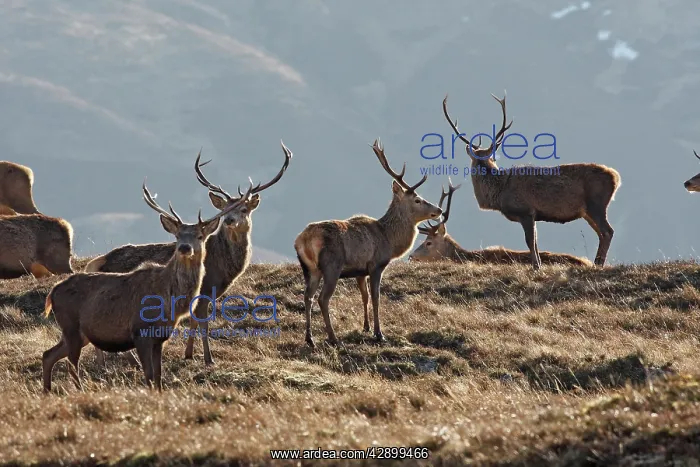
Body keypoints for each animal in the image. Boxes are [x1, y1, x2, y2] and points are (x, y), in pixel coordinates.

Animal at [42, 180, 254, 392]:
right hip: (71, 326)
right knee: (71, 363)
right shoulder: (140, 331)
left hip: (79, 333)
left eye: (200, 236)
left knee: (48, 355)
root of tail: (52, 292)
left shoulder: (161, 336)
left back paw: (48, 390)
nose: (184, 248)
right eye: (177, 236)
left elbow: (158, 376)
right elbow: (150, 375)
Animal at [85, 142, 292, 366]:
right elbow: (202, 323)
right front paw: (208, 359)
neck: (223, 268)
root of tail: (98, 261)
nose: (229, 220)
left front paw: (189, 354)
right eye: (226, 208)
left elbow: (193, 322)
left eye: (244, 209)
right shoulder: (204, 290)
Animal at [294, 139, 443, 347]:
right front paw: (379, 333)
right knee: (323, 298)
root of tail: (304, 240)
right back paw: (333, 338)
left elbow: (364, 296)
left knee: (307, 296)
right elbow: (376, 297)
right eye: (417, 199)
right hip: (331, 265)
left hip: (310, 269)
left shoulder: (360, 271)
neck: (389, 239)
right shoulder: (376, 264)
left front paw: (366, 327)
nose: (439, 210)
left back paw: (310, 338)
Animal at [442, 92, 621, 270]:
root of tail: (616, 177)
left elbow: (529, 241)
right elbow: (535, 241)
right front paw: (538, 264)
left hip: (596, 203)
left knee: (608, 231)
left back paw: (598, 264)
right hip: (587, 211)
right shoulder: (533, 214)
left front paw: (536, 266)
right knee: (601, 233)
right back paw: (597, 262)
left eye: (492, 157)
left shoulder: (525, 210)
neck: (499, 192)